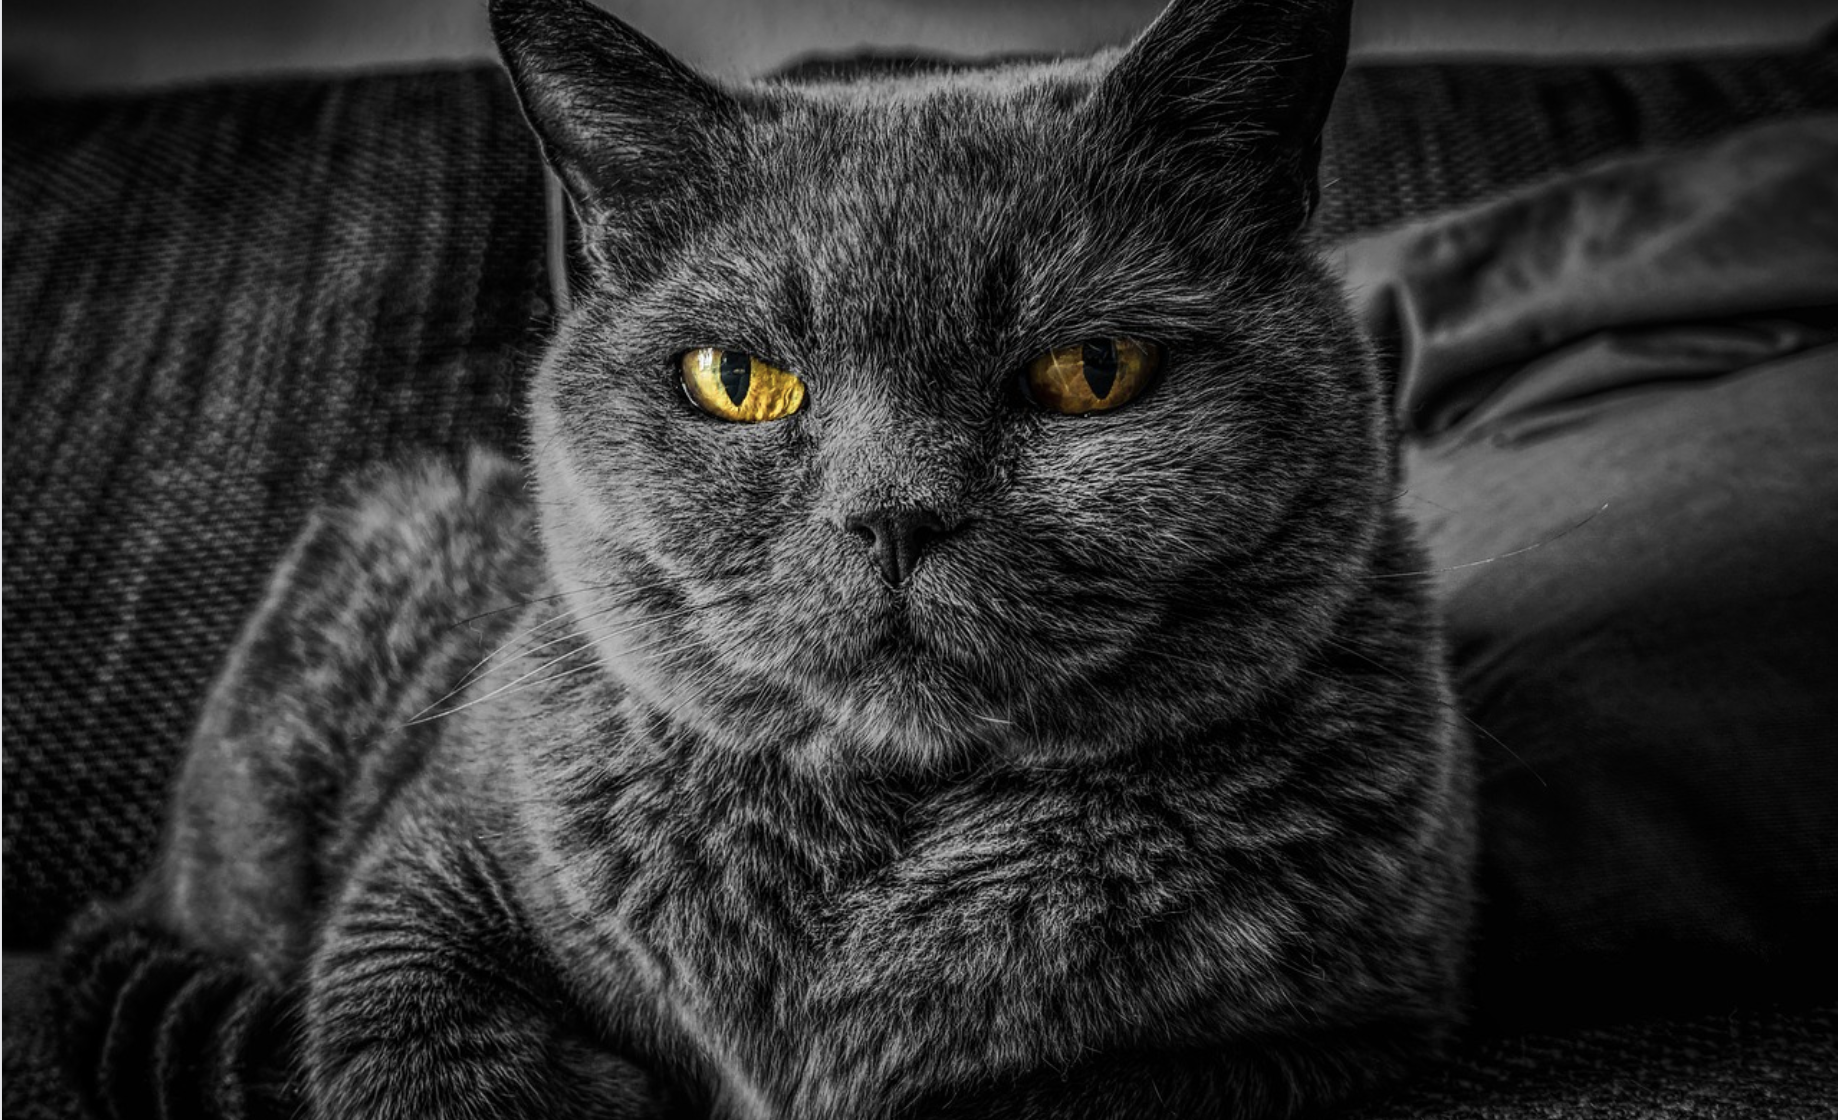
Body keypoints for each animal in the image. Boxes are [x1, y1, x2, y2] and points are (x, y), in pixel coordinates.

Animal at [112, 0, 1478, 1115]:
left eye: (1092, 372)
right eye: (737, 379)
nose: (893, 515)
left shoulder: (1354, 1025)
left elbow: (1057, 1089)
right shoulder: (430, 864)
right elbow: (408, 1036)